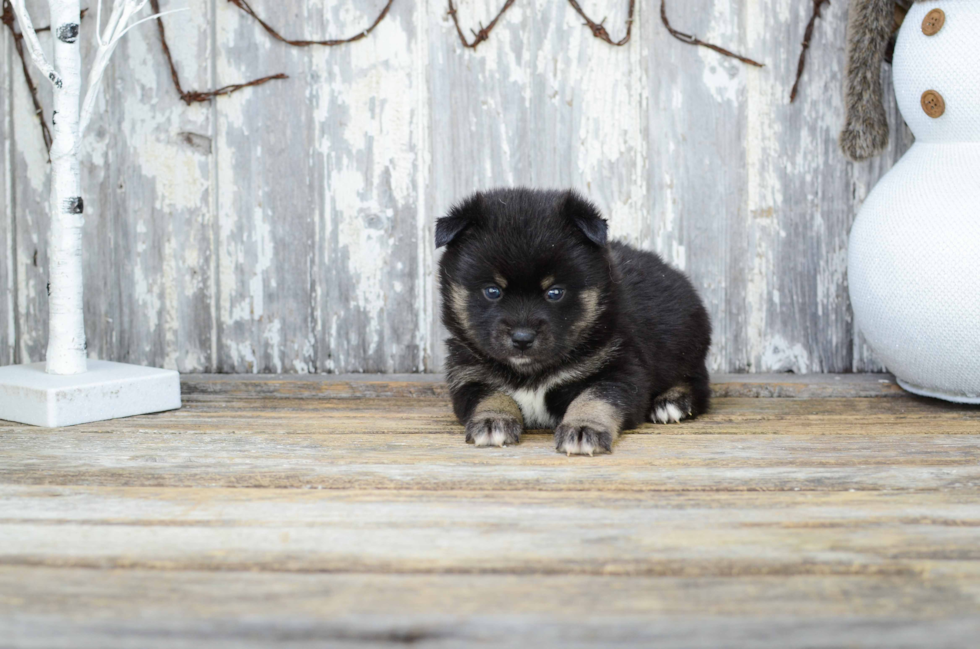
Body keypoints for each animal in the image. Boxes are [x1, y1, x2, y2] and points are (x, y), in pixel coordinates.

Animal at [436, 187, 712, 456]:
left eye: (555, 292)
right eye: (492, 291)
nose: (522, 339)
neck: (531, 373)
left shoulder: (618, 369)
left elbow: (594, 398)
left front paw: (583, 429)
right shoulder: (468, 375)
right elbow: (491, 395)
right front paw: (493, 420)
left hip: (686, 346)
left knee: (697, 381)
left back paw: (672, 402)